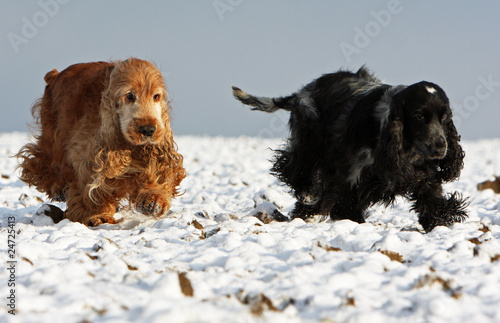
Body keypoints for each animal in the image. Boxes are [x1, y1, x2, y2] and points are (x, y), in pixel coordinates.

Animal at [17, 57, 187, 225]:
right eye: (130, 96)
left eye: (156, 96)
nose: (148, 130)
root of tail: (55, 75)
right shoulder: (88, 157)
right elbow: (92, 188)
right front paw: (98, 215)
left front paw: (154, 201)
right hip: (53, 138)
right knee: (45, 165)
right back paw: (59, 190)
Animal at [232, 67, 466, 232]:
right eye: (419, 116)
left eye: (445, 116)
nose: (440, 146)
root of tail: (302, 91)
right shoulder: (352, 173)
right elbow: (346, 202)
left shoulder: (423, 174)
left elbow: (432, 199)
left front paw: (440, 221)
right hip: (309, 141)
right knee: (296, 170)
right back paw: (308, 199)